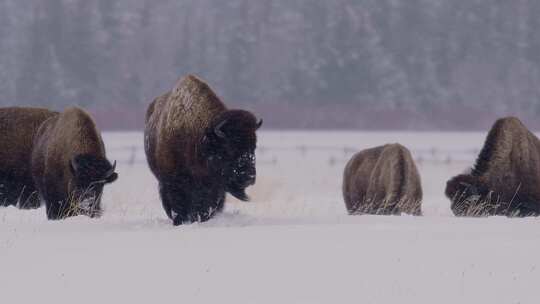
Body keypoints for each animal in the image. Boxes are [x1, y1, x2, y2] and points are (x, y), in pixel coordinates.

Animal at [143, 75, 262, 224]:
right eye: (228, 148)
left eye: (254, 146)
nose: (249, 177)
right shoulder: (173, 182)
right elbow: (178, 205)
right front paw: (181, 221)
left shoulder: (212, 187)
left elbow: (205, 206)